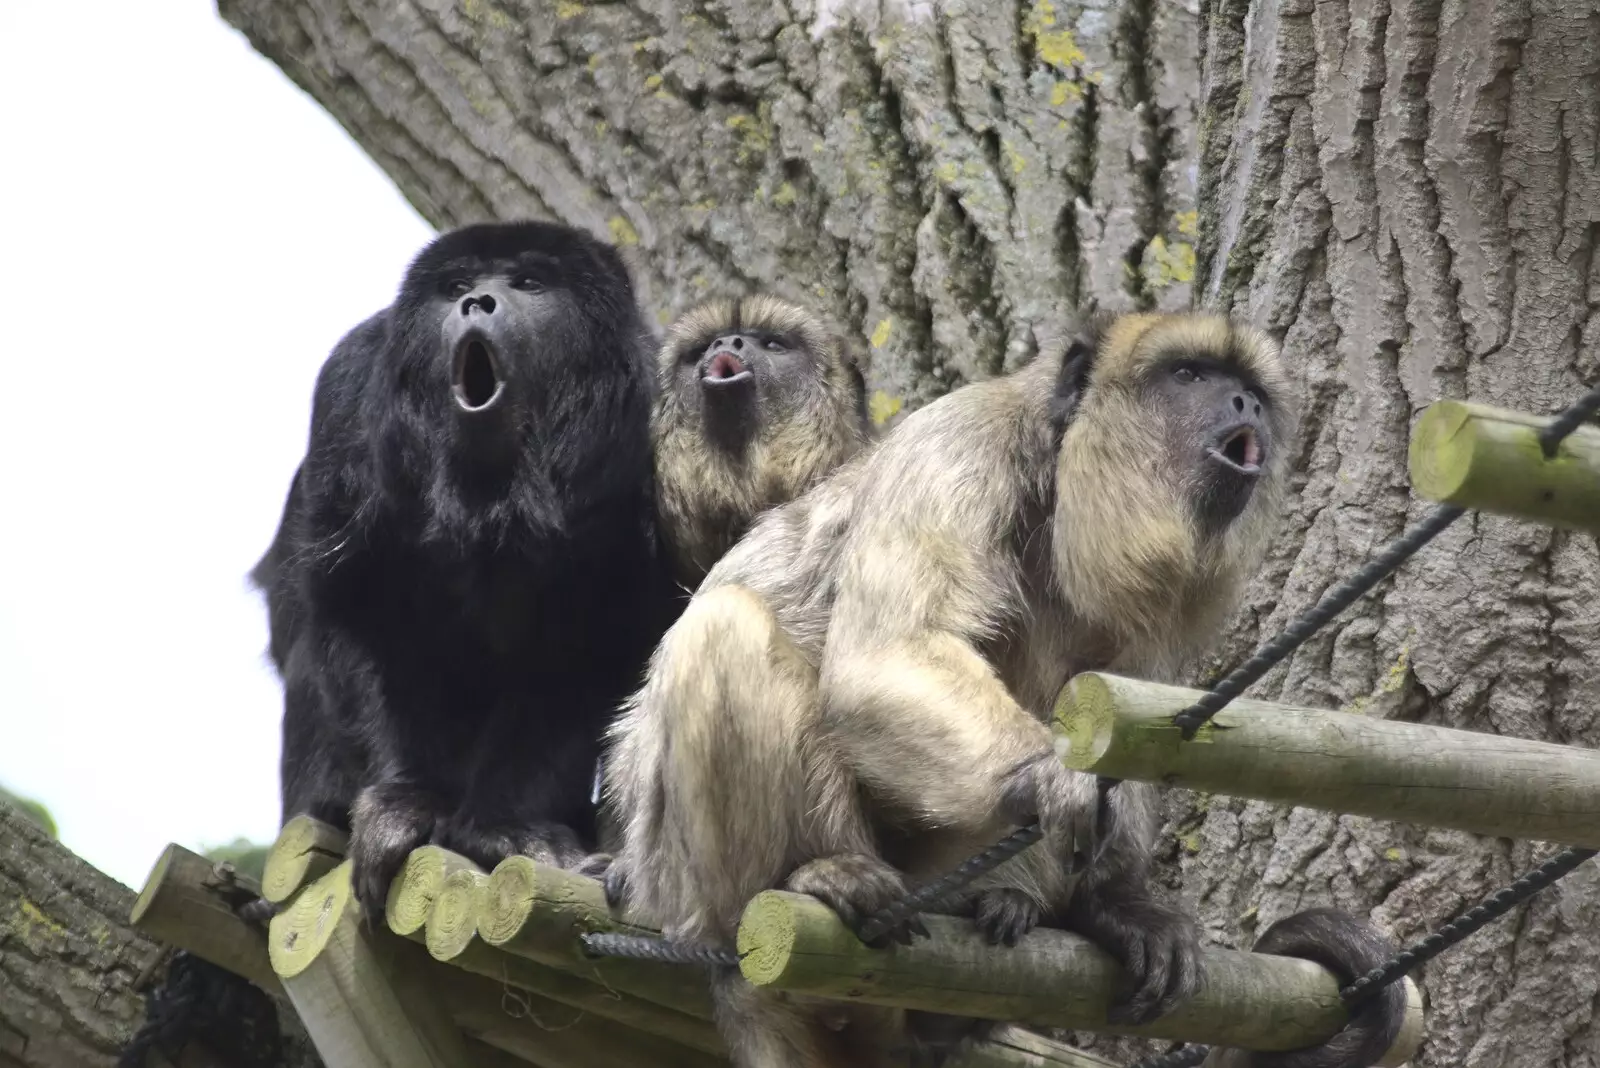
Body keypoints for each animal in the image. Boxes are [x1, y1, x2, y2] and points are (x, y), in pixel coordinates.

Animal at [601, 310, 1401, 1068]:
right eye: (1190, 374)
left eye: (1251, 390)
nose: (1243, 403)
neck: (1061, 468)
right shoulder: (958, 442)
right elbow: (886, 653)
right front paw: (1049, 777)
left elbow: (1127, 715)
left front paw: (1119, 905)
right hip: (682, 885)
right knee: (728, 627)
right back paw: (811, 881)